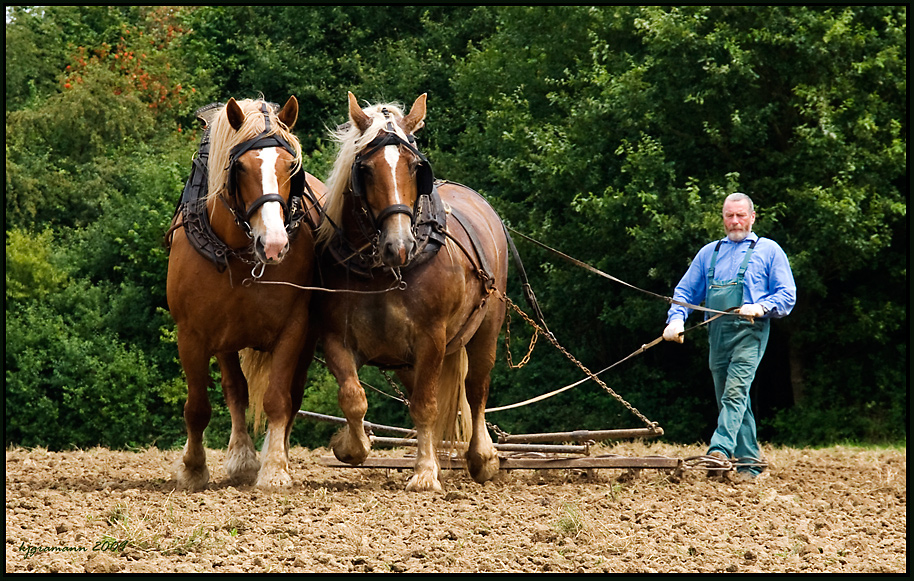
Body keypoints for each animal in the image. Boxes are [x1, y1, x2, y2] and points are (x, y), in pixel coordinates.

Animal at [167, 96, 324, 490]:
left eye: (291, 168)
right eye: (239, 168)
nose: (274, 244)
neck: (241, 255)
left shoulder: (295, 328)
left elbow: (278, 398)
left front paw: (276, 469)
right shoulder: (191, 333)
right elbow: (198, 406)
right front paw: (193, 468)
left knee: (291, 393)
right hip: (226, 338)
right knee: (234, 388)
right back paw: (241, 457)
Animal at [316, 93, 510, 492]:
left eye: (415, 167)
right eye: (365, 169)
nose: (399, 245)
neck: (383, 271)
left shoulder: (432, 338)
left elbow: (426, 405)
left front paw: (424, 474)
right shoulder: (335, 337)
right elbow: (353, 397)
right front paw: (350, 446)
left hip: (486, 328)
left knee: (476, 388)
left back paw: (482, 457)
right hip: (407, 361)